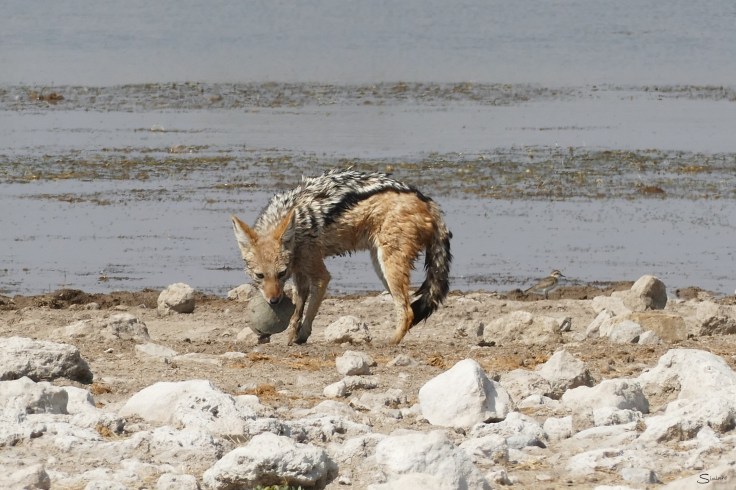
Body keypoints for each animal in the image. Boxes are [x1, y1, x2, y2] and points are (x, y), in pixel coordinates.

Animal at [231, 169, 452, 345]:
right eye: (260, 276)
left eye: (281, 273)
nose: (274, 301)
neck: (298, 228)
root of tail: (427, 200)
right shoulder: (300, 274)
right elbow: (297, 313)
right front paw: (290, 339)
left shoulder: (320, 275)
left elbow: (309, 313)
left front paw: (302, 336)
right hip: (381, 268)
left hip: (389, 268)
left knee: (408, 311)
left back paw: (390, 342)